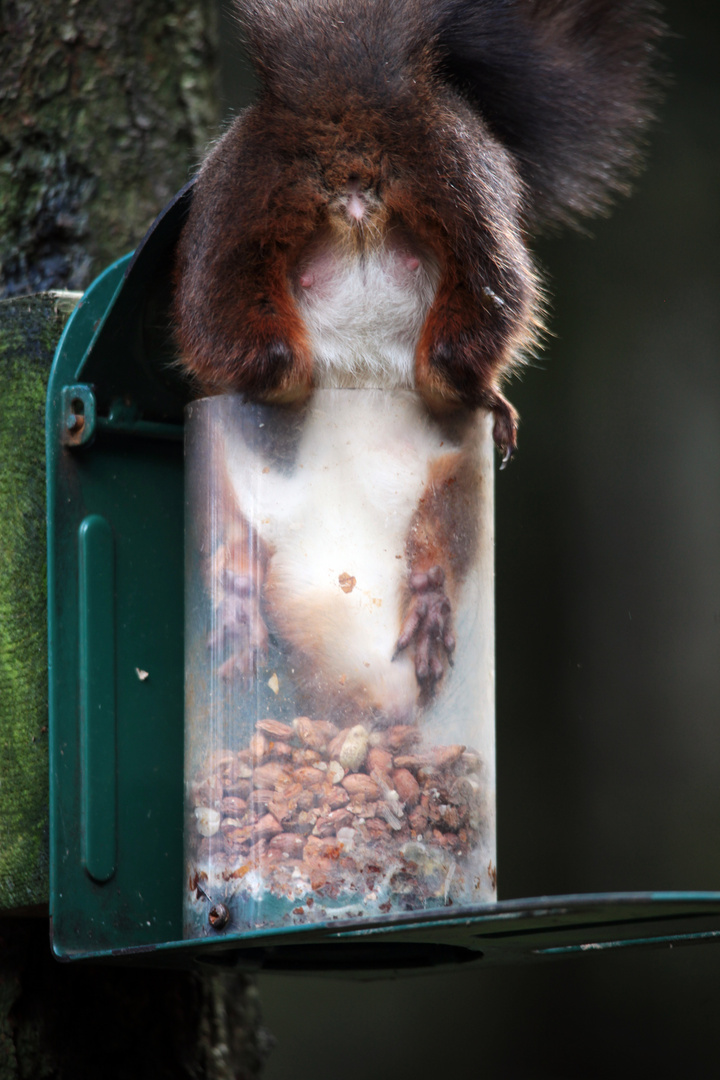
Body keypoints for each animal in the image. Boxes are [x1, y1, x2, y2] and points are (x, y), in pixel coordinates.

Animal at [172, 2, 660, 725]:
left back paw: (487, 403)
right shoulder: (257, 484)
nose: (393, 715)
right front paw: (237, 601)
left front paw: (428, 606)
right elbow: (233, 533)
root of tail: (348, 119)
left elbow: (441, 533)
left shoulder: (443, 466)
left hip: (290, 232)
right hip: (270, 232)